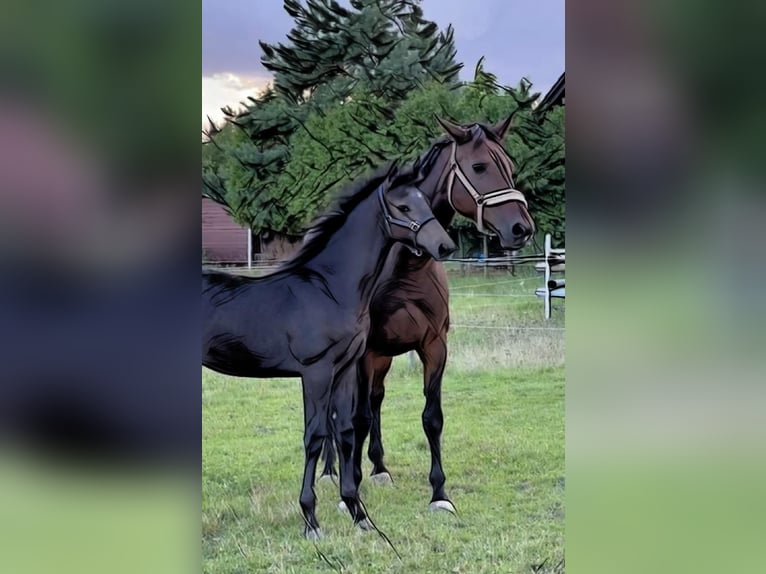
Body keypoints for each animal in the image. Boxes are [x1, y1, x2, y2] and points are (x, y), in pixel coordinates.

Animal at [202, 167, 456, 539]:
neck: (330, 289)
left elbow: (347, 432)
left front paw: (358, 513)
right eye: (403, 207)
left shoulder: (346, 368)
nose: (445, 245)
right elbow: (315, 436)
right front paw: (311, 520)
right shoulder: (316, 372)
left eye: (424, 200)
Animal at [320, 116, 535, 514]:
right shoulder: (362, 353)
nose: (521, 228)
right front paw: (350, 489)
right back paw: (330, 470)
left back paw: (379, 467)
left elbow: (431, 418)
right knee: (337, 410)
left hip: (383, 358)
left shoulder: (433, 345)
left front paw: (439, 493)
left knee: (375, 400)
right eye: (478, 167)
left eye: (510, 167)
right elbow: (356, 418)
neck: (404, 268)